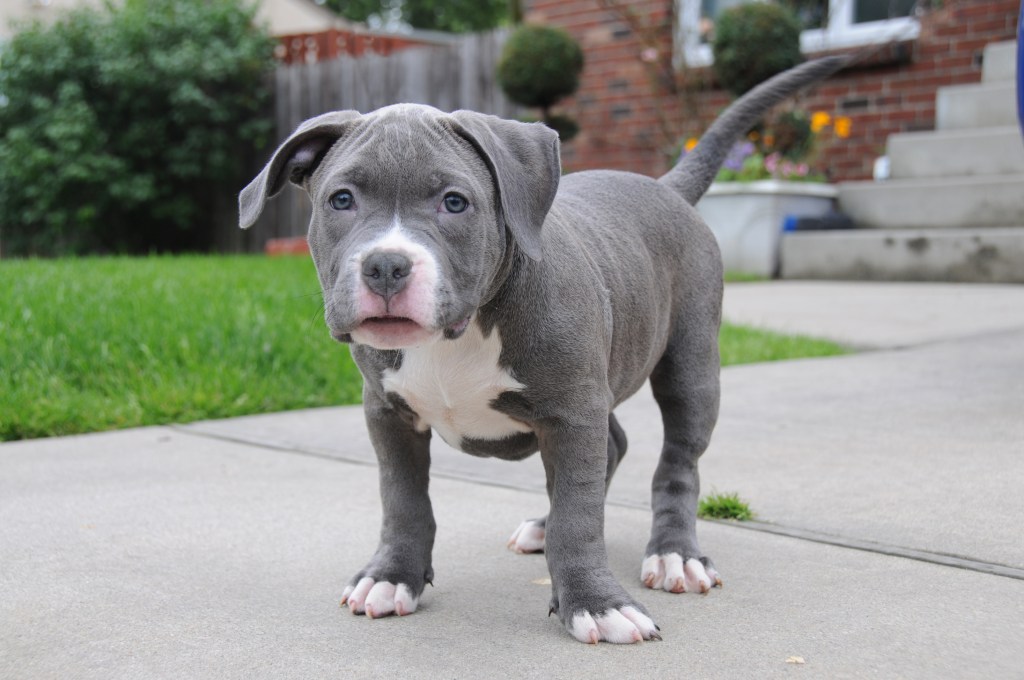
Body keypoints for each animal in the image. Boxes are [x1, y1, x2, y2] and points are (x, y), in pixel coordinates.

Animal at [241, 57, 847, 643]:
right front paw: (392, 577)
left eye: (455, 202)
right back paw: (544, 524)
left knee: (677, 461)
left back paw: (675, 554)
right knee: (614, 443)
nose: (386, 265)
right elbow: (404, 500)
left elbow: (580, 517)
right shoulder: (389, 414)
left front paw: (597, 604)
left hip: (691, 366)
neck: (458, 334)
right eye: (341, 200)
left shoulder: (572, 413)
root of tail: (666, 186)